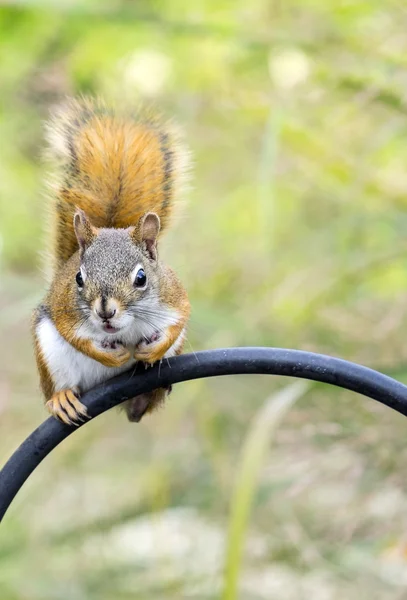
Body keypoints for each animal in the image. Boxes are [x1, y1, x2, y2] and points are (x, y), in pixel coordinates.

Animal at [31, 98, 191, 424]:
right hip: (50, 354)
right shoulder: (64, 306)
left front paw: (151, 351)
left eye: (141, 278)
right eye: (79, 278)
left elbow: (179, 319)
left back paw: (144, 397)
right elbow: (74, 335)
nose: (105, 312)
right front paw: (110, 354)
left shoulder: (173, 296)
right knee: (60, 386)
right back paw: (62, 399)